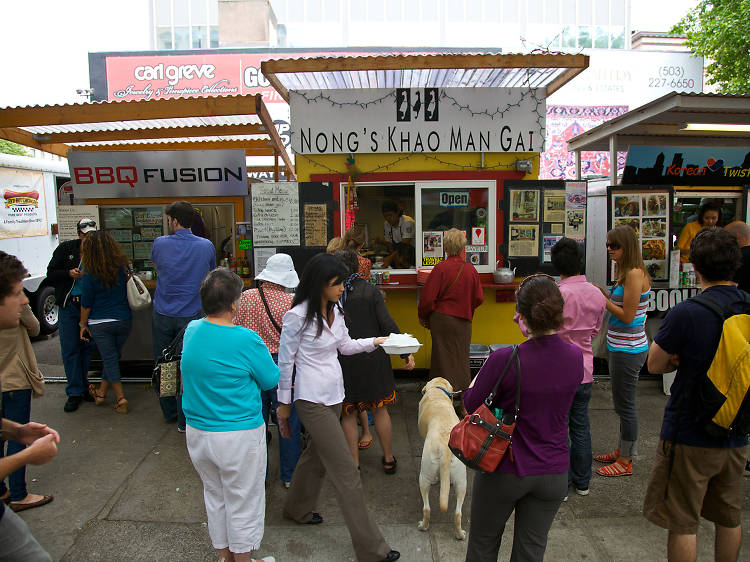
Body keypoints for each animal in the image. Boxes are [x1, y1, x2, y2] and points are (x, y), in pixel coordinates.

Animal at [420, 376, 468, 540]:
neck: (438, 390)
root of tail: (446, 449)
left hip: (424, 475)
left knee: (427, 508)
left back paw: (423, 526)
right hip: (462, 481)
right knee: (458, 513)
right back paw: (460, 534)